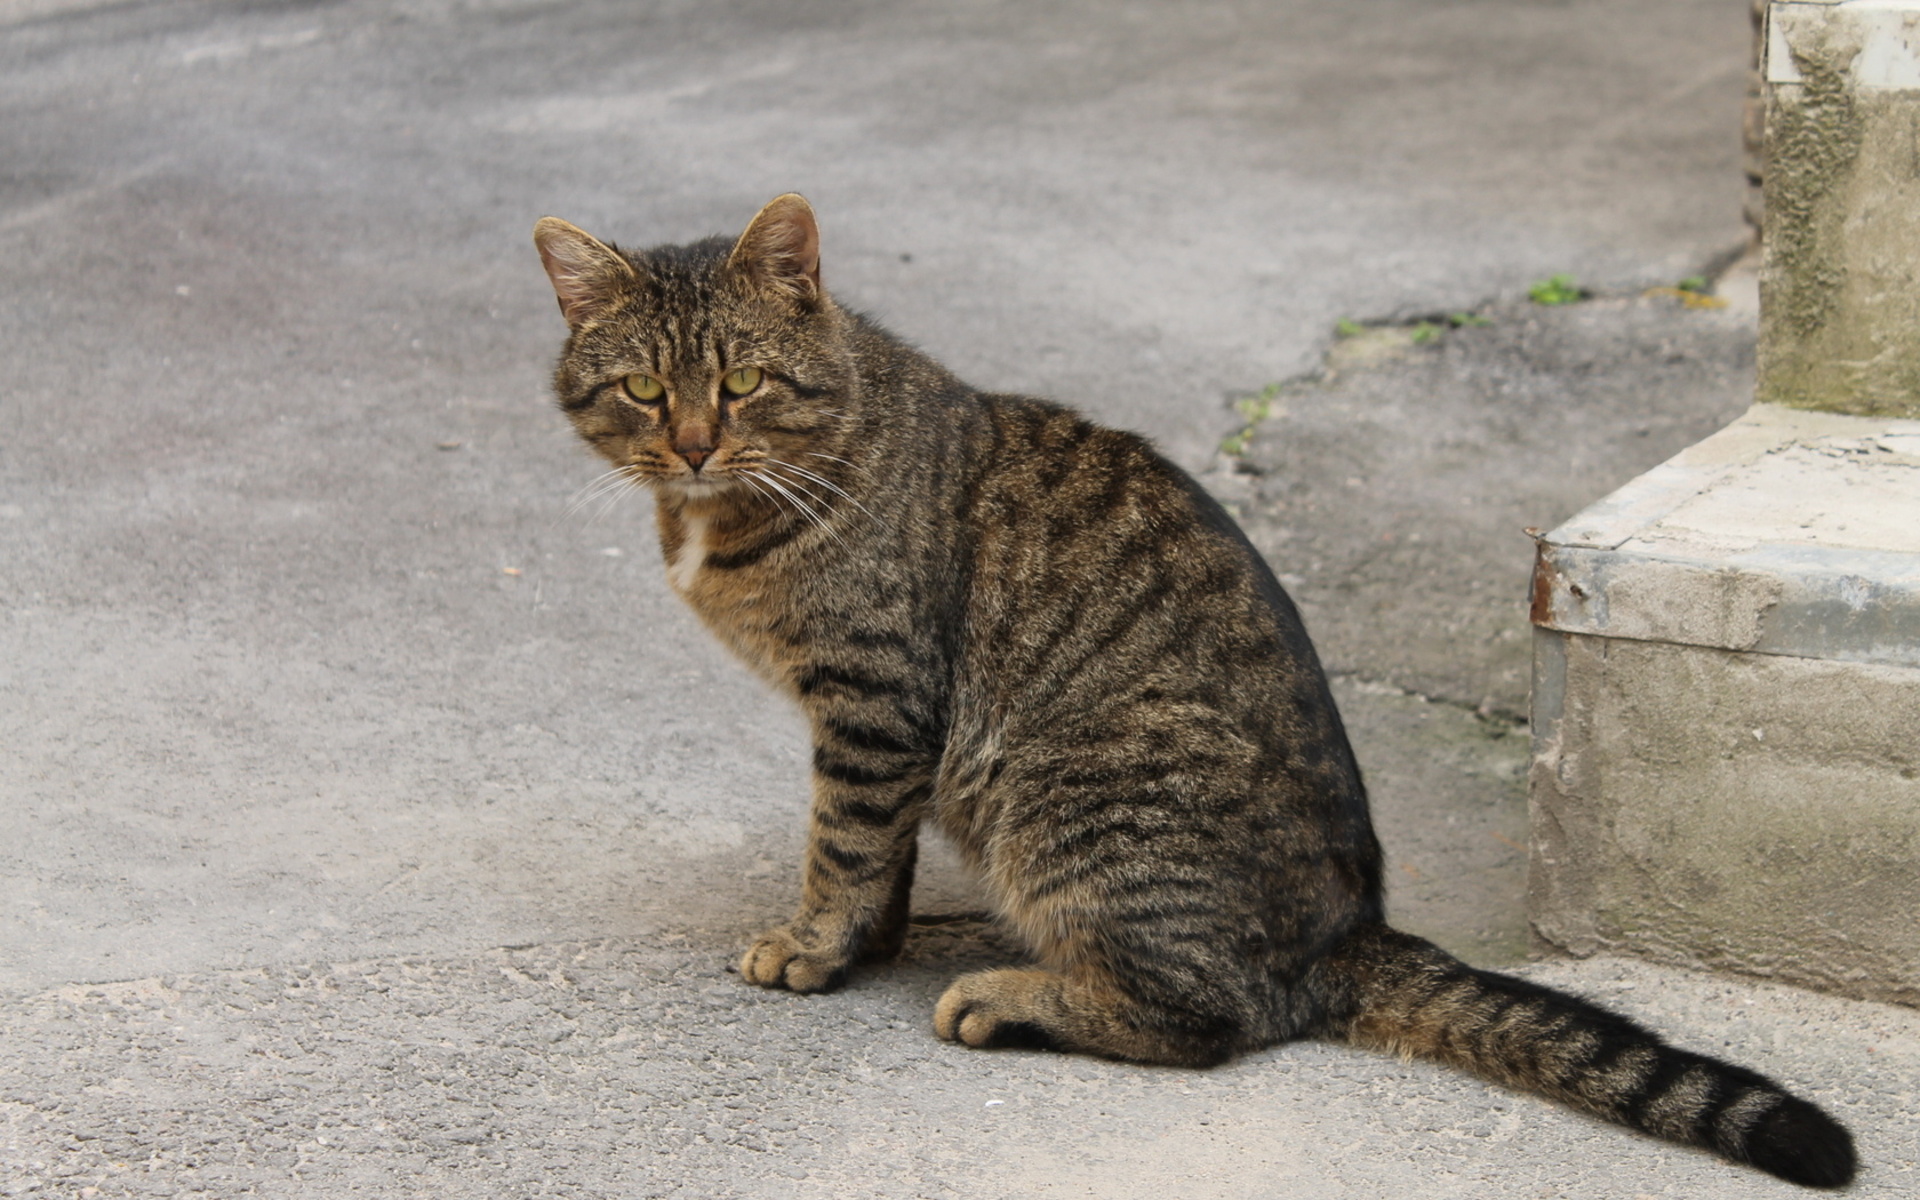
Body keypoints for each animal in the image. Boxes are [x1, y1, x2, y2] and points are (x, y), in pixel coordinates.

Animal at [533, 192, 1850, 1182]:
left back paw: (1010, 994)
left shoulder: (875, 697)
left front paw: (817, 945)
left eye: (742, 383)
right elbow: (880, 850)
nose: (694, 442)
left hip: (1068, 792)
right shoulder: (885, 725)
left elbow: (844, 843)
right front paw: (870, 937)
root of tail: (1353, 930)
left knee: (1208, 1021)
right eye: (646, 392)